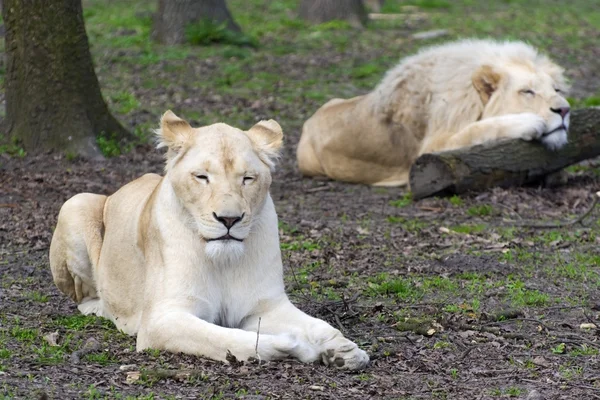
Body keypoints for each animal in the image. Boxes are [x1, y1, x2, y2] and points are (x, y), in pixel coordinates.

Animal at [50, 111, 370, 370]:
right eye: (202, 177)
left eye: (248, 178)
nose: (229, 219)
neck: (222, 261)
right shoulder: (162, 319)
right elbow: (229, 337)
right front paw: (294, 345)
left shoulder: (265, 306)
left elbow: (318, 324)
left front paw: (343, 349)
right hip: (76, 203)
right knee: (84, 299)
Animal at [298, 39, 568, 186]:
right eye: (528, 92)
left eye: (556, 89)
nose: (564, 110)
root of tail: (309, 121)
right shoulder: (428, 152)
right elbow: (476, 130)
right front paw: (528, 122)